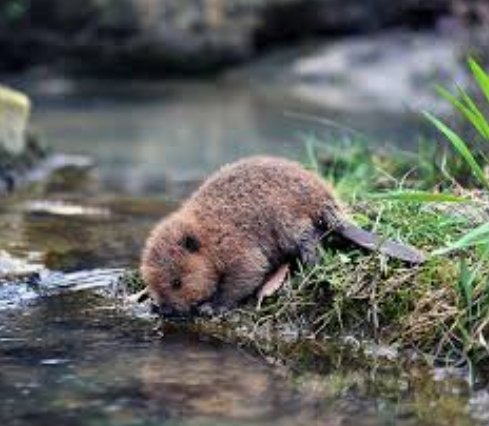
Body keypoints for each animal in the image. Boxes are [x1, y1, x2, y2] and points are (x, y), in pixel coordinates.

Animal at [138, 156, 424, 316]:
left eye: (177, 282)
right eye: (153, 284)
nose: (166, 311)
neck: (206, 233)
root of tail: (329, 206)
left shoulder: (234, 244)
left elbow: (248, 272)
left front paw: (211, 307)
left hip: (288, 222)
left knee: (309, 241)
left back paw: (309, 267)